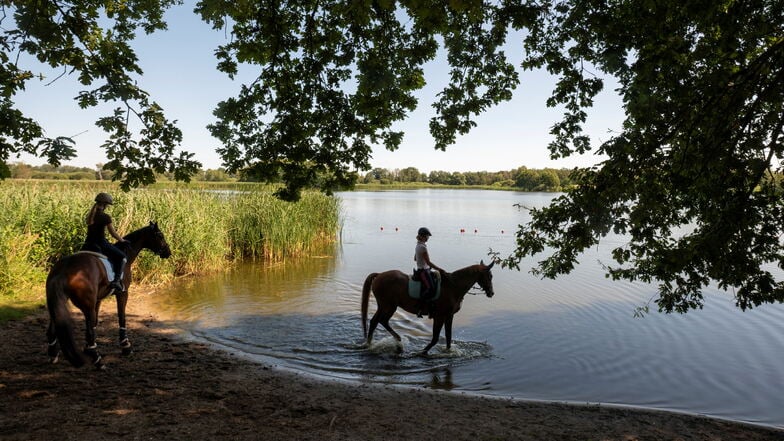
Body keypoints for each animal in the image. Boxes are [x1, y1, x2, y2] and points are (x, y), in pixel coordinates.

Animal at [46, 220, 172, 368]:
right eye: (160, 236)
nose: (168, 252)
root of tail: (64, 269)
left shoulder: (98, 300)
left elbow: (95, 323)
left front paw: (88, 348)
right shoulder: (123, 293)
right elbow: (121, 317)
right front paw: (126, 346)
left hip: (59, 304)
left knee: (53, 329)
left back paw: (54, 354)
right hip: (87, 307)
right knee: (88, 331)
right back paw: (97, 360)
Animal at [362, 260, 496, 352]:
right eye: (489, 276)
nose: (491, 293)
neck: (453, 286)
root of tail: (379, 275)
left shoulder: (449, 316)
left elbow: (448, 336)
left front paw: (448, 351)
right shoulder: (439, 316)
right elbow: (435, 338)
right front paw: (422, 352)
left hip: (384, 306)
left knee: (375, 321)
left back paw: (371, 343)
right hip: (389, 306)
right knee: (382, 321)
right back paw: (397, 341)